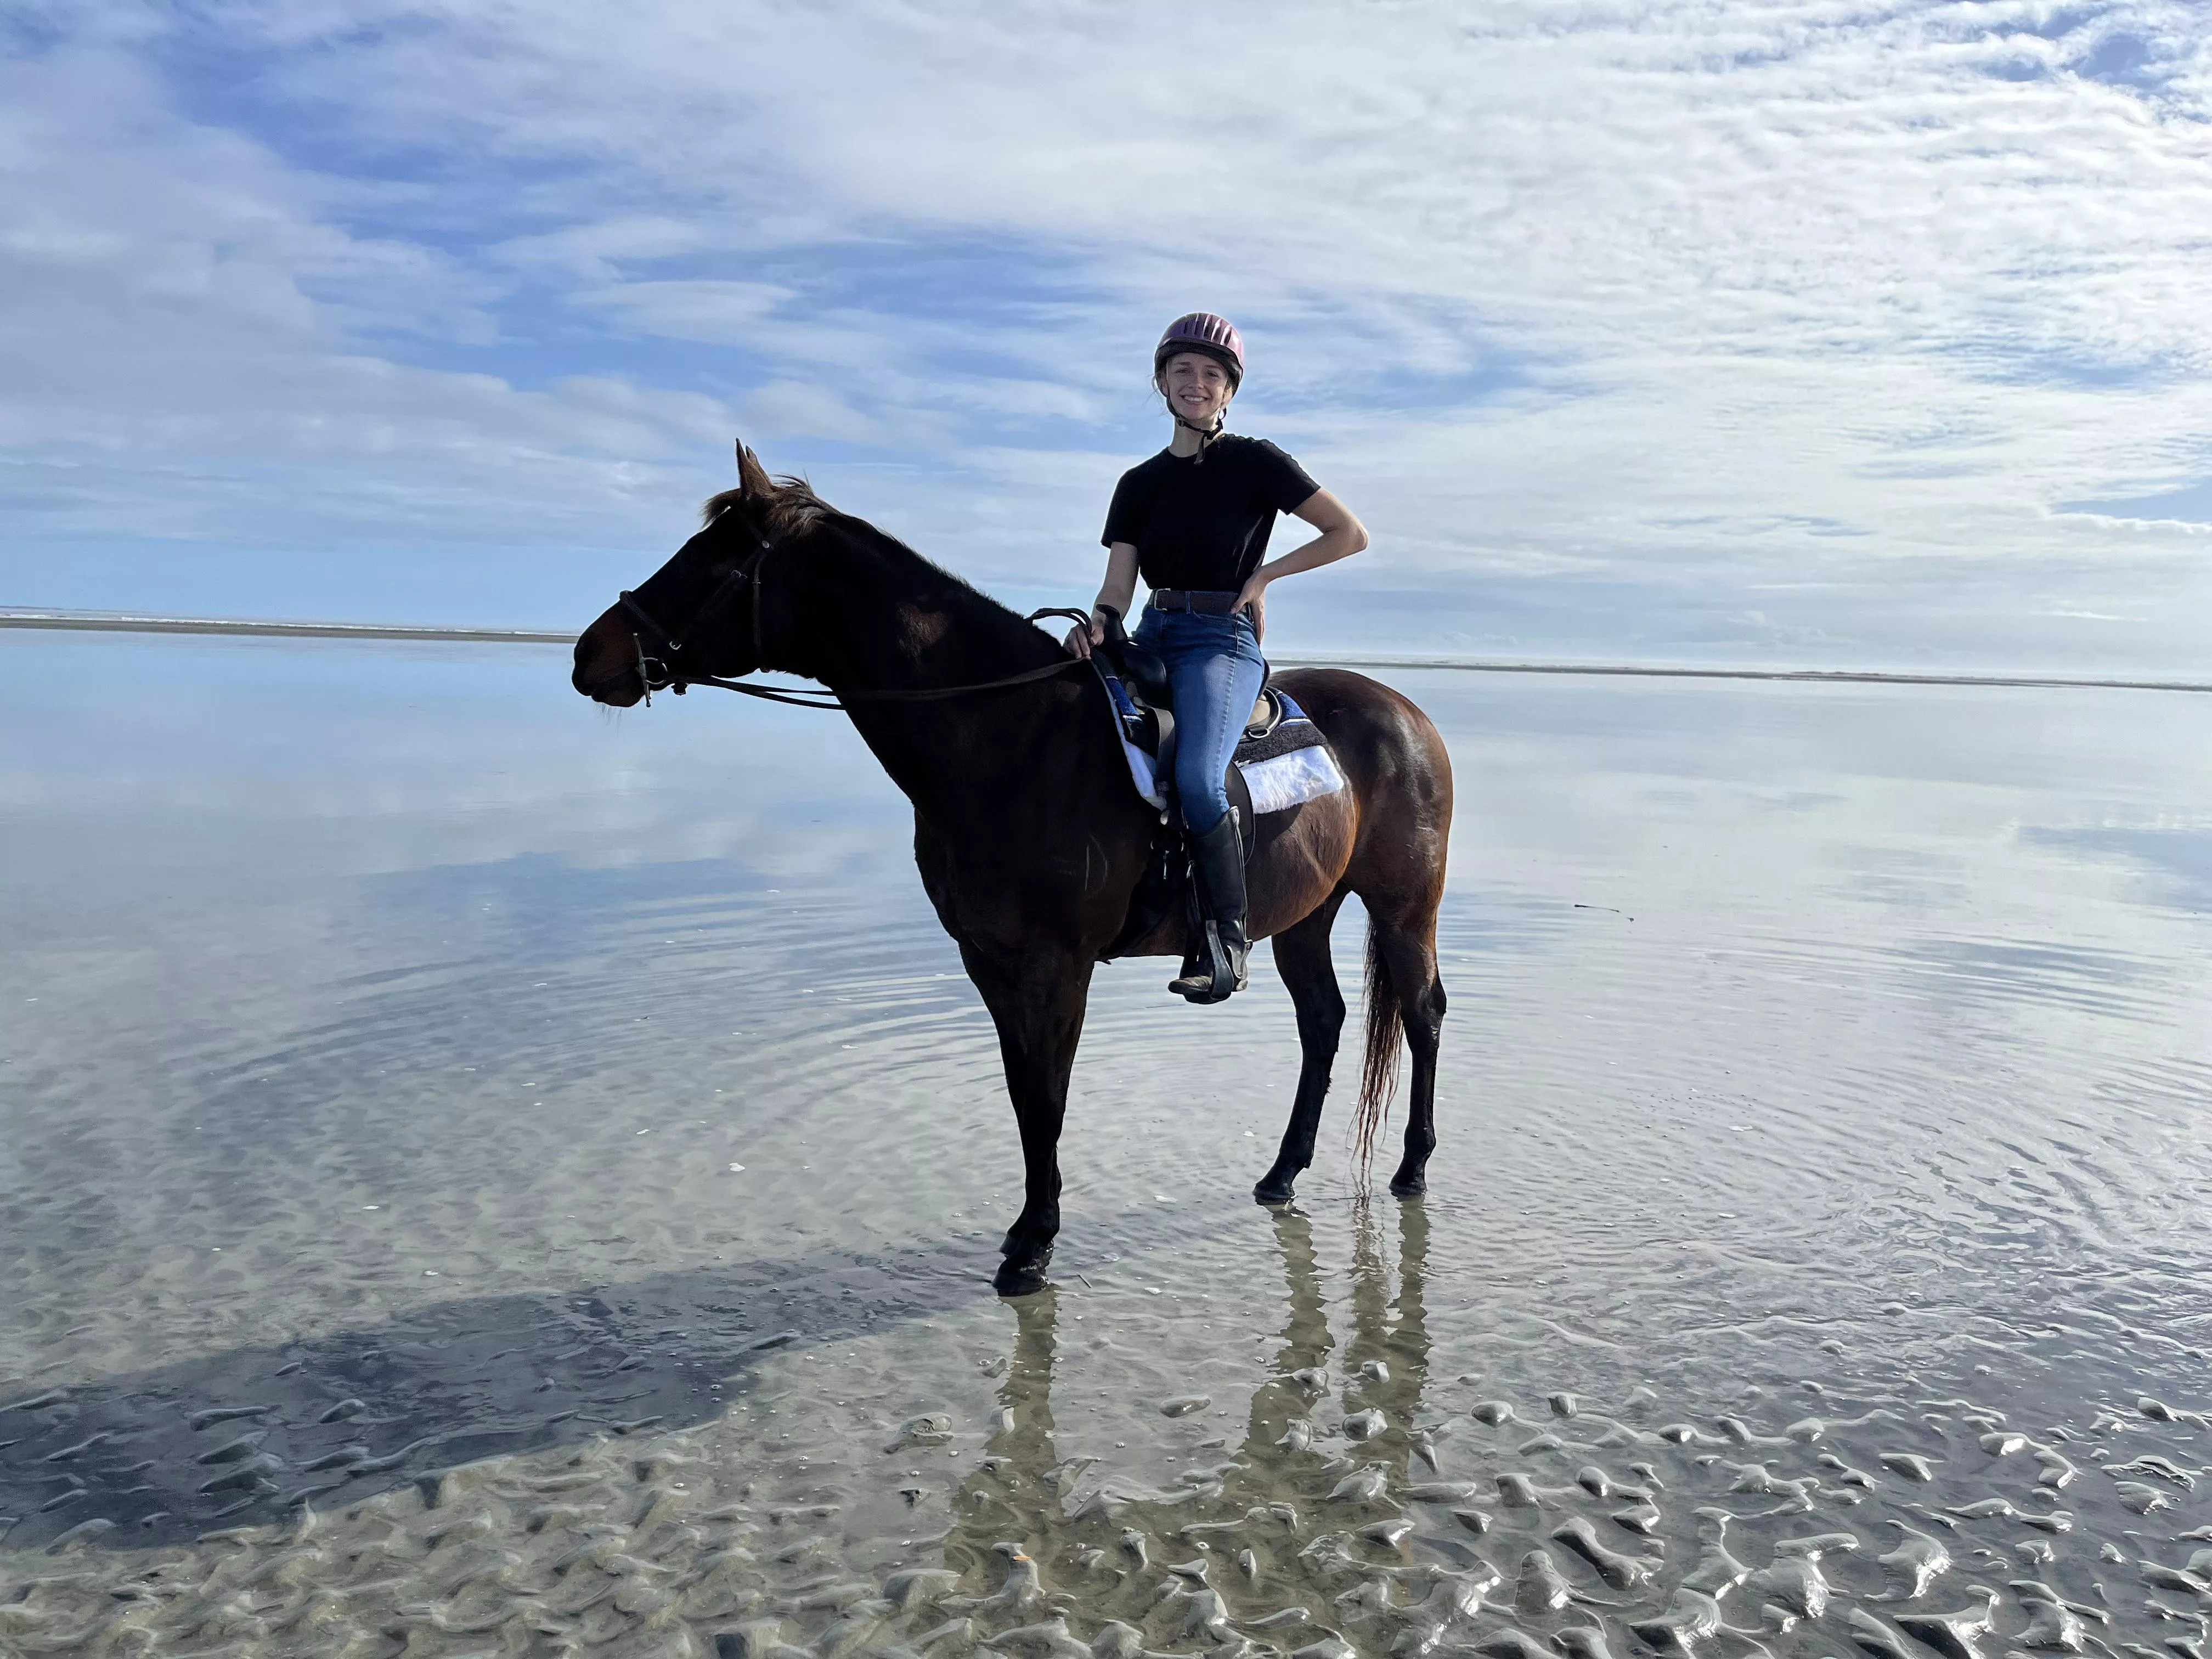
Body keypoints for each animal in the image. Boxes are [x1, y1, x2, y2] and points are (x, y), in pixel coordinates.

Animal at [575, 444, 1451, 1300]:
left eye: (710, 561)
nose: (590, 655)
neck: (1011, 737)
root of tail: (1409, 713)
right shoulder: (989, 960)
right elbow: (1023, 1093)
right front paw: (1027, 1230)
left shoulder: (1057, 964)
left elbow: (1047, 1095)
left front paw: (1033, 1246)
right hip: (1307, 913)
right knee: (1324, 1022)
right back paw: (1282, 1173)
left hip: (1405, 908)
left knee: (1422, 1014)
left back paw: (1412, 1167)